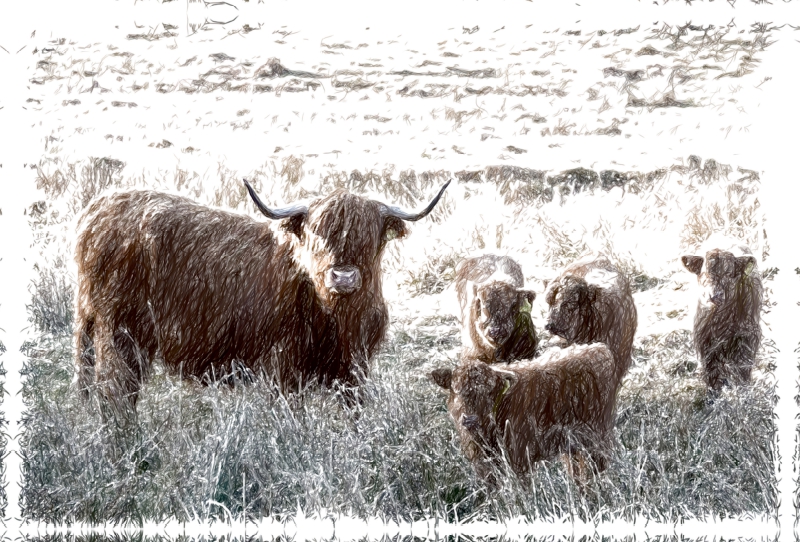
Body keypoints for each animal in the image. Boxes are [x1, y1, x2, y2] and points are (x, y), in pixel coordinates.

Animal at [75, 181, 450, 418]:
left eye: (369, 236)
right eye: (317, 235)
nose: (343, 277)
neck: (338, 317)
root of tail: (96, 210)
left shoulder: (355, 371)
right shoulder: (283, 367)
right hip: (119, 332)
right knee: (115, 393)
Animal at [432, 344, 612, 484]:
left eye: (490, 393)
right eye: (457, 390)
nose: (470, 420)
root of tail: (598, 348)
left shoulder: (519, 461)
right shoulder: (484, 468)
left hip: (597, 436)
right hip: (571, 445)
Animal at [680, 244, 764, 394]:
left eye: (729, 274)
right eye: (704, 273)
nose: (715, 295)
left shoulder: (747, 338)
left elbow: (742, 372)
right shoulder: (705, 344)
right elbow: (712, 376)